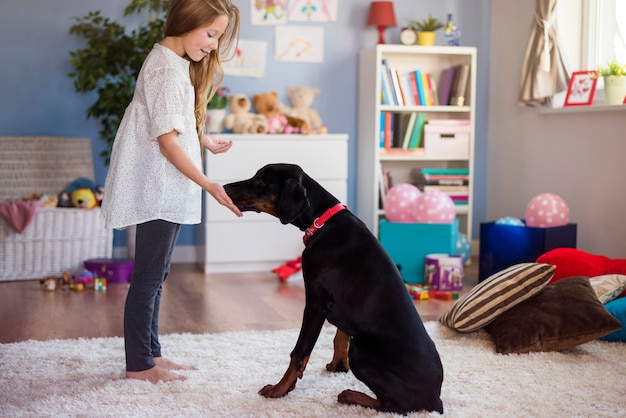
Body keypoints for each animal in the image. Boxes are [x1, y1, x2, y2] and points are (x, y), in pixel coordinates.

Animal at [222, 163, 442, 414]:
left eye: (260, 181)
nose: (225, 187)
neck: (322, 221)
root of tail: (435, 397)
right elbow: (340, 336)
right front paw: (338, 365)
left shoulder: (316, 302)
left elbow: (299, 352)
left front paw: (280, 389)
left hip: (362, 350)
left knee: (395, 405)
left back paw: (351, 395)